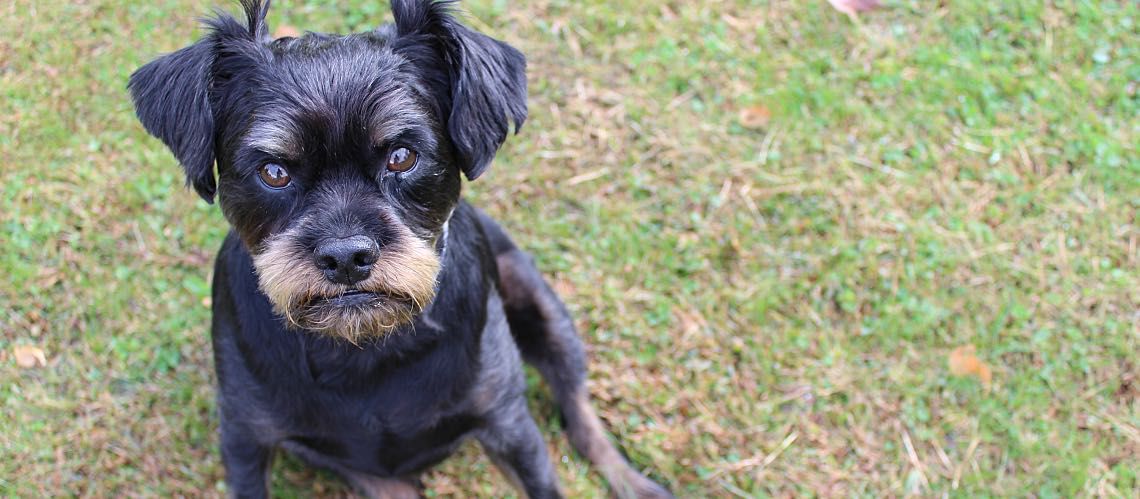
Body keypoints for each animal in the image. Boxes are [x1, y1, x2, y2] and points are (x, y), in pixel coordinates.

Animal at [130, 0, 670, 498]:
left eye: (402, 156)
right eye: (274, 171)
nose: (346, 257)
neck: (366, 348)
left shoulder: (508, 423)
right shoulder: (245, 438)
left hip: (543, 308)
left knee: (579, 413)